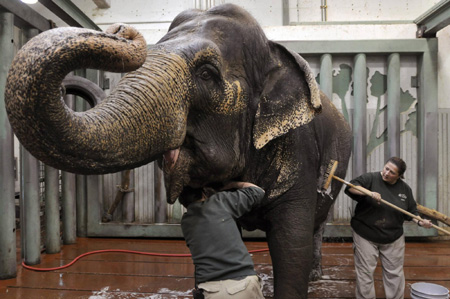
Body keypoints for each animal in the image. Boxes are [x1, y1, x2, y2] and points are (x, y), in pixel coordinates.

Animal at [3, 2, 352, 299]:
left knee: (317, 223)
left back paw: (315, 275)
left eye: (207, 73)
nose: (120, 30)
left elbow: (291, 242)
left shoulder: (298, 148)